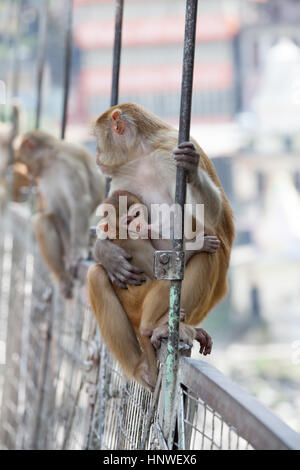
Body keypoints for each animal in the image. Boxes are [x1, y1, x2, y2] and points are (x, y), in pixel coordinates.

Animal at [16, 129, 106, 298]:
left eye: (24, 163)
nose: (29, 174)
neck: (50, 160)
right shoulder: (45, 179)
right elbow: (58, 211)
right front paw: (70, 256)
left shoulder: (68, 165)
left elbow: (79, 202)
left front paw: (76, 254)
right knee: (42, 221)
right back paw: (62, 277)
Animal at [87, 189, 216, 392]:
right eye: (128, 220)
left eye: (136, 215)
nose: (139, 224)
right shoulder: (134, 241)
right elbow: (163, 266)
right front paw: (199, 243)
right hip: (138, 307)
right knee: (180, 272)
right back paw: (152, 327)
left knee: (97, 274)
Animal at [90, 103, 236, 350]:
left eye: (97, 140)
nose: (97, 156)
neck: (142, 156)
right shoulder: (123, 176)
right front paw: (106, 252)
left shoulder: (168, 155)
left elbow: (210, 217)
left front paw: (192, 169)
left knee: (207, 255)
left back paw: (166, 326)